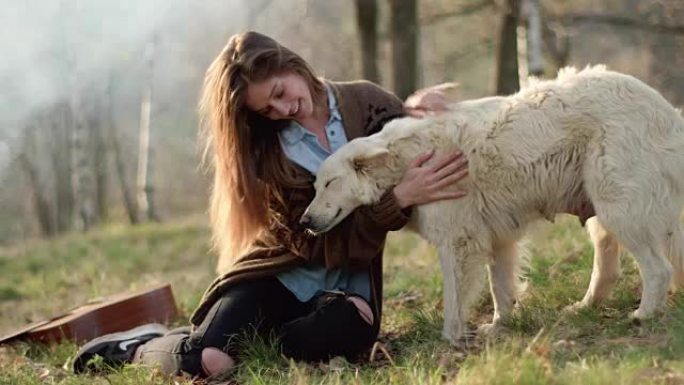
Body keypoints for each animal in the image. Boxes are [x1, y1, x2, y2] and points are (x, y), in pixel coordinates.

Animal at [302, 65, 684, 342]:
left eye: (331, 184)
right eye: (315, 186)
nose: (305, 221)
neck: (406, 160)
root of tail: (667, 111)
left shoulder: (459, 241)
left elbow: (456, 295)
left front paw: (450, 338)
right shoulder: (498, 237)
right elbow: (500, 286)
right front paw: (500, 326)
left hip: (620, 206)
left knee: (658, 267)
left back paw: (644, 314)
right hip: (604, 209)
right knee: (611, 267)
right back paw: (585, 307)